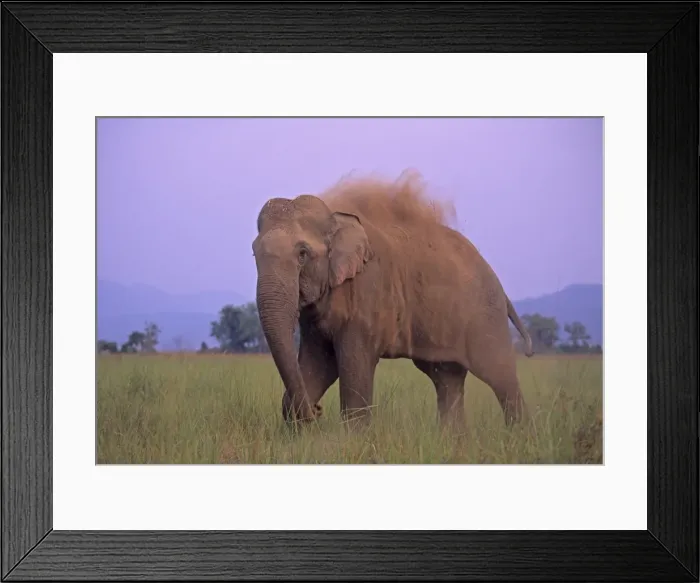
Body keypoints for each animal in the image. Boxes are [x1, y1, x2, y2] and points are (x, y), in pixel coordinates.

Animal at [251, 174, 534, 429]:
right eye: (254, 252)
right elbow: (318, 363)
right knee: (447, 378)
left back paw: (519, 437)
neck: (336, 218)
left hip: (485, 315)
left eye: (302, 253)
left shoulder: (367, 294)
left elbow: (353, 372)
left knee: (500, 376)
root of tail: (499, 284)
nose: (317, 411)